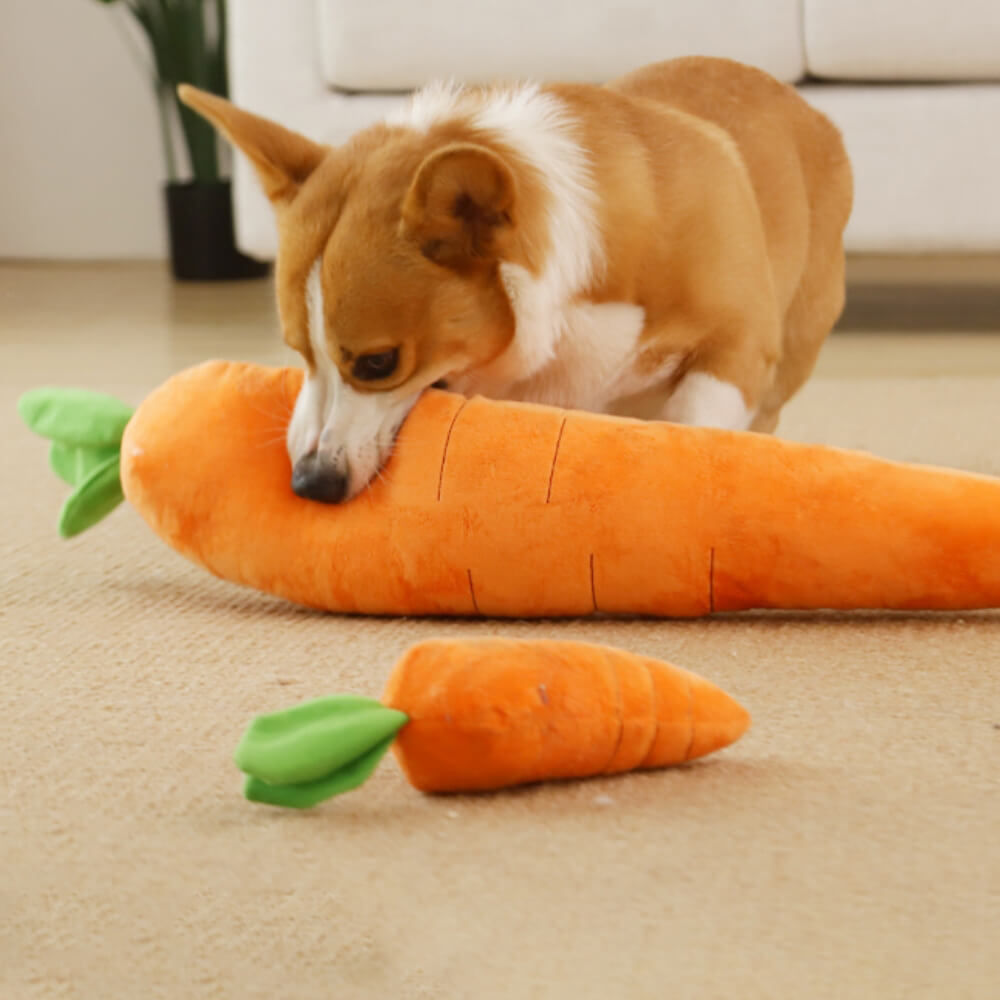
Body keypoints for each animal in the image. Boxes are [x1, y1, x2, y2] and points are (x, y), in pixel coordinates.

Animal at [180, 58, 852, 504]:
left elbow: (691, 423)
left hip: (794, 345)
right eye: (300, 352)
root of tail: (806, 108)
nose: (309, 484)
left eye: (378, 363)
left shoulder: (736, 347)